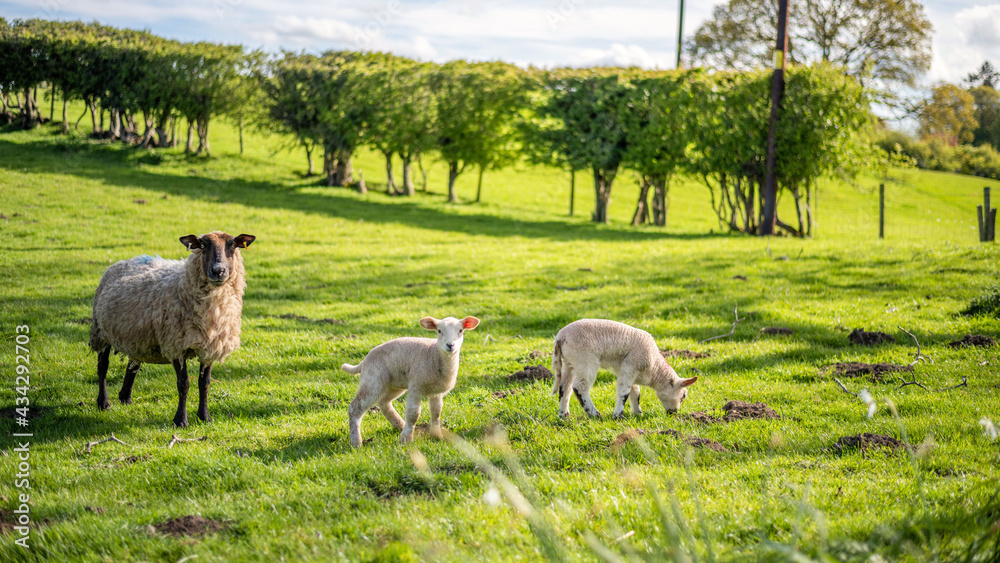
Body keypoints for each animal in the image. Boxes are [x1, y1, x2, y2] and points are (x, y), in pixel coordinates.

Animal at [89, 231, 256, 427]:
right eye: (202, 245)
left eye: (233, 245)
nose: (218, 271)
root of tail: (125, 260)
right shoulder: (176, 344)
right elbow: (184, 384)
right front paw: (181, 420)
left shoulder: (210, 346)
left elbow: (204, 383)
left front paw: (204, 417)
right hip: (101, 332)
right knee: (103, 367)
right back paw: (104, 403)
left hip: (137, 336)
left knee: (133, 364)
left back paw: (125, 398)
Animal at [342, 316, 480, 447]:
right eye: (439, 331)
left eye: (460, 330)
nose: (450, 345)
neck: (433, 355)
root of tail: (365, 360)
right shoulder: (416, 386)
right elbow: (413, 413)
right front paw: (406, 439)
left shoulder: (436, 392)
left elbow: (436, 412)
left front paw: (437, 436)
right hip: (372, 380)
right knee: (355, 407)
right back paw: (356, 442)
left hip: (393, 384)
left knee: (384, 402)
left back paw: (400, 425)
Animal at [551, 319, 697, 418]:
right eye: (683, 396)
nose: (674, 413)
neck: (655, 369)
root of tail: (560, 336)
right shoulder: (631, 366)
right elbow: (624, 391)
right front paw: (618, 415)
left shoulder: (628, 371)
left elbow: (635, 392)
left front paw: (638, 413)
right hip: (585, 360)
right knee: (580, 387)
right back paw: (594, 414)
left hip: (570, 363)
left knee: (564, 388)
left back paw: (564, 415)